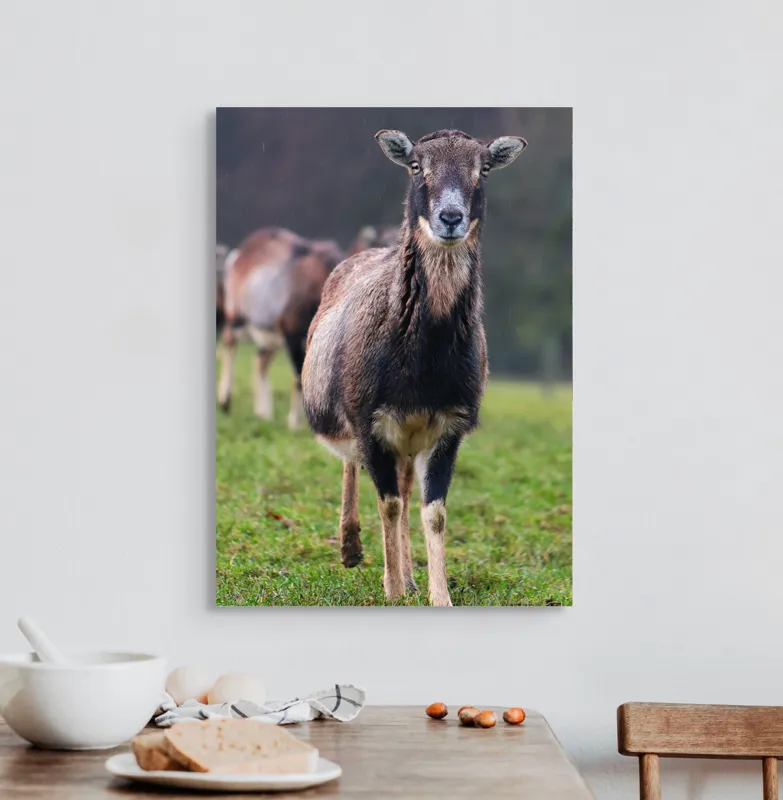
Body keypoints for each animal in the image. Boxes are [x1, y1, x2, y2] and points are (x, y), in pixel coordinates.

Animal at [302, 129, 526, 606]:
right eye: (416, 167)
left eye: (484, 169)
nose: (451, 217)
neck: (424, 364)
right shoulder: (369, 420)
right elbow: (387, 503)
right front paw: (390, 589)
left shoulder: (448, 427)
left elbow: (433, 512)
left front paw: (436, 595)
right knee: (358, 471)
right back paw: (352, 550)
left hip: (407, 439)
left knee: (406, 491)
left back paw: (407, 576)